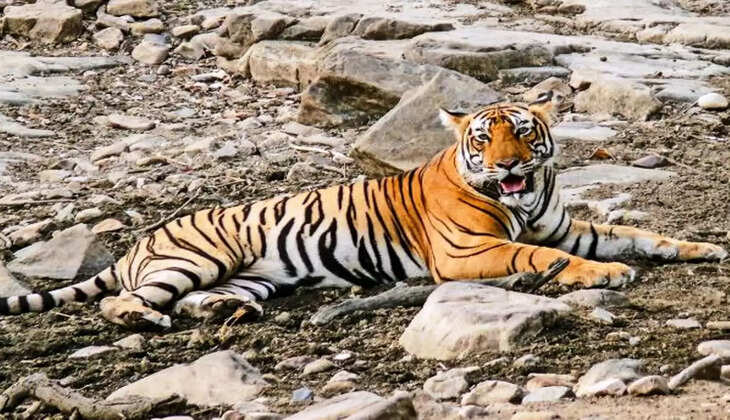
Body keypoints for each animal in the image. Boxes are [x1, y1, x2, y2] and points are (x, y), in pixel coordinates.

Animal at [1, 91, 726, 329]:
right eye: (482, 140)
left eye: (523, 132)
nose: (505, 166)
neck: (525, 197)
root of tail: (134, 243)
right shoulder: (469, 251)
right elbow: (542, 254)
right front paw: (604, 276)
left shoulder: (571, 225)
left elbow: (634, 231)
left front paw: (701, 247)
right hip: (203, 255)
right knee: (123, 302)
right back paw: (145, 317)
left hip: (251, 276)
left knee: (202, 299)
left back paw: (228, 313)